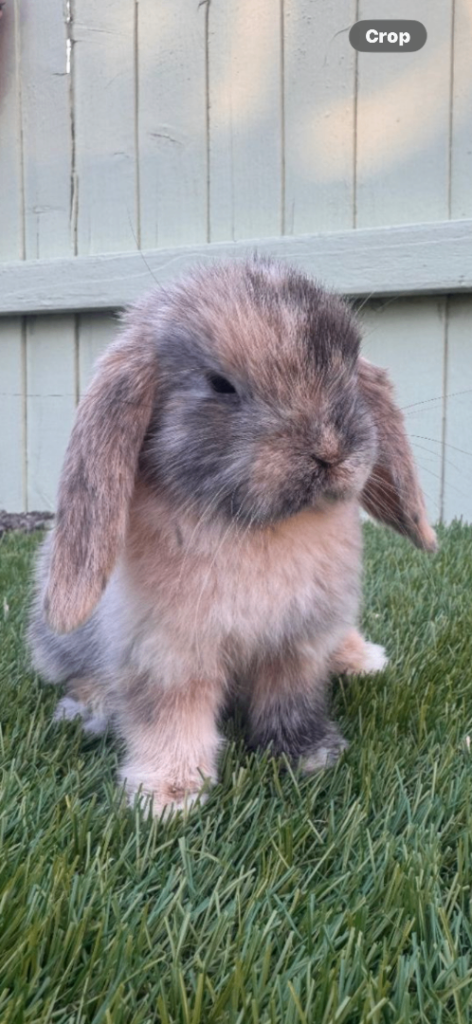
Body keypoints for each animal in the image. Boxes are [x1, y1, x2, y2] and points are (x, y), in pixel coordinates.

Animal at [28, 257, 437, 816]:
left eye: (350, 368)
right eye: (220, 384)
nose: (330, 451)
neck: (257, 527)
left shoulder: (297, 644)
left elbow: (292, 700)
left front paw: (309, 756)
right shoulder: (170, 658)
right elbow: (171, 721)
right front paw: (166, 797)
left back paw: (362, 658)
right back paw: (87, 707)